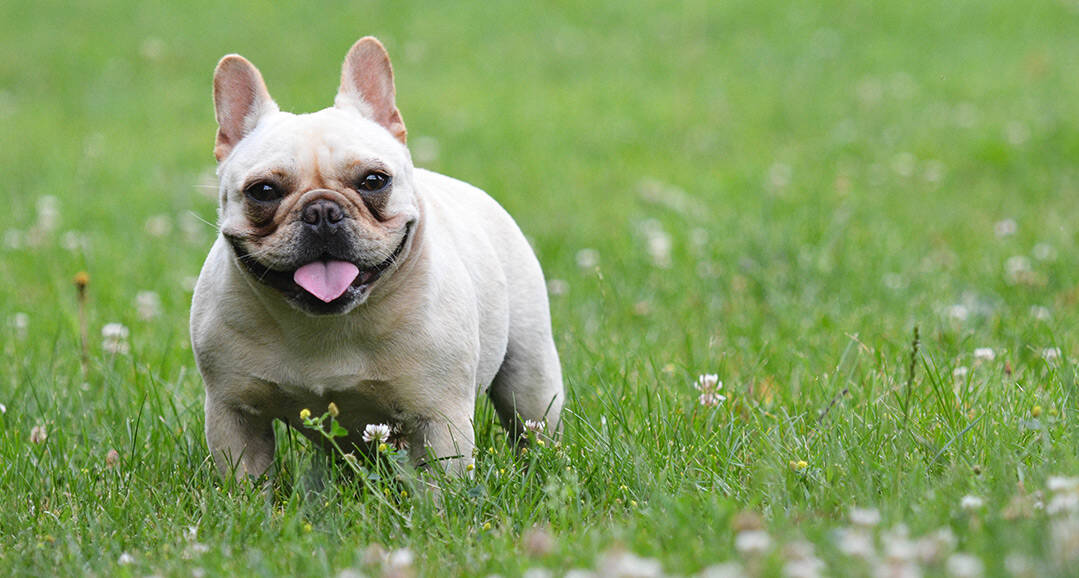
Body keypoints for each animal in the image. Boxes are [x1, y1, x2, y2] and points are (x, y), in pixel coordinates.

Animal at [192, 37, 565, 478]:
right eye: (262, 191)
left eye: (374, 181)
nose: (321, 211)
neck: (324, 326)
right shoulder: (233, 414)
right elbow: (245, 479)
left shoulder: (440, 418)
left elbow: (443, 484)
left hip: (531, 376)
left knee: (532, 423)